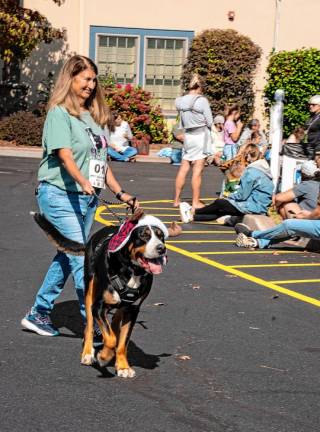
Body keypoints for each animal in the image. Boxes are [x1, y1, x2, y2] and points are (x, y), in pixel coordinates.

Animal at [34, 210, 170, 378]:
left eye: (161, 236)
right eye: (144, 236)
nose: (161, 248)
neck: (132, 271)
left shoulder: (132, 311)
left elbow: (122, 342)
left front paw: (123, 366)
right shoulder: (98, 307)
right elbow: (110, 339)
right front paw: (104, 356)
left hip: (120, 307)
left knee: (114, 322)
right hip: (89, 292)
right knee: (90, 327)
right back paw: (87, 353)